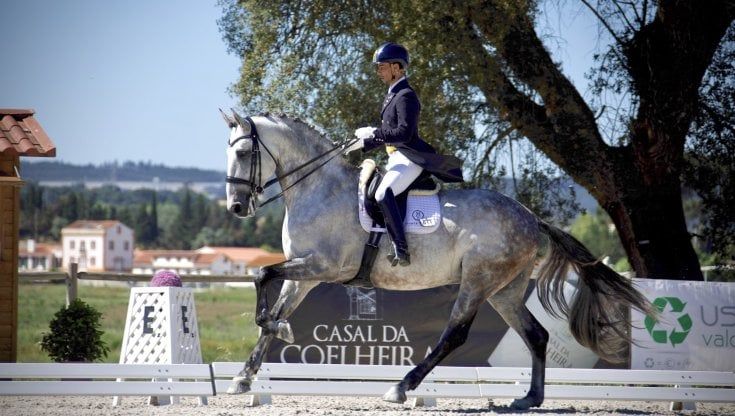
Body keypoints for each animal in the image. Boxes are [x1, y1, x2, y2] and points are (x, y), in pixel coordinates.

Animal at [222, 111, 653, 410]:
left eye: (242, 152)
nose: (237, 207)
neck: (319, 189)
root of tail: (531, 218)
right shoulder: (304, 273)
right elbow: (272, 301)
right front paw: (245, 376)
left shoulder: (325, 267)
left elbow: (261, 274)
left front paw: (279, 333)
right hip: (506, 290)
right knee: (536, 335)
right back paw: (529, 399)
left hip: (478, 280)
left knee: (455, 334)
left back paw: (401, 388)